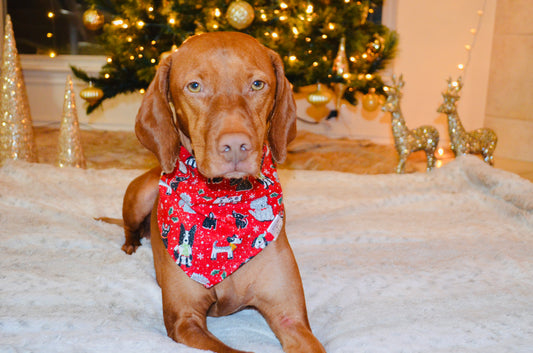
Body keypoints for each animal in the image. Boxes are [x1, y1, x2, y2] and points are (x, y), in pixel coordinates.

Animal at [121, 31, 324, 350]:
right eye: (194, 86)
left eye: (257, 84)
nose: (236, 146)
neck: (223, 200)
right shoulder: (184, 320)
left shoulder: (290, 318)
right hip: (140, 195)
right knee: (129, 226)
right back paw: (131, 244)